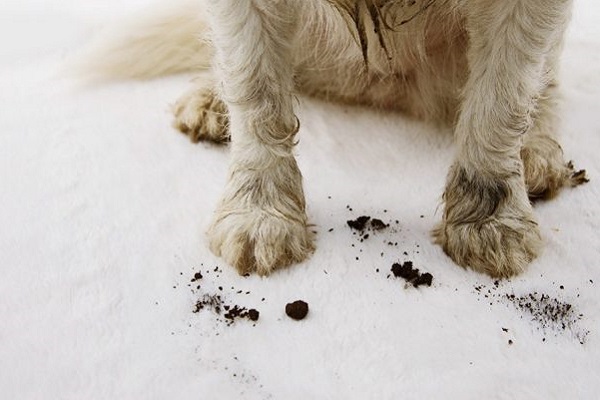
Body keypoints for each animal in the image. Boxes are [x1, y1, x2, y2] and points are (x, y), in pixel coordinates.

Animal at [77, 0, 588, 278]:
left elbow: (502, 97)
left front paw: (490, 221)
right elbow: (255, 87)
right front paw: (260, 214)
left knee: (543, 82)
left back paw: (536, 152)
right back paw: (210, 100)